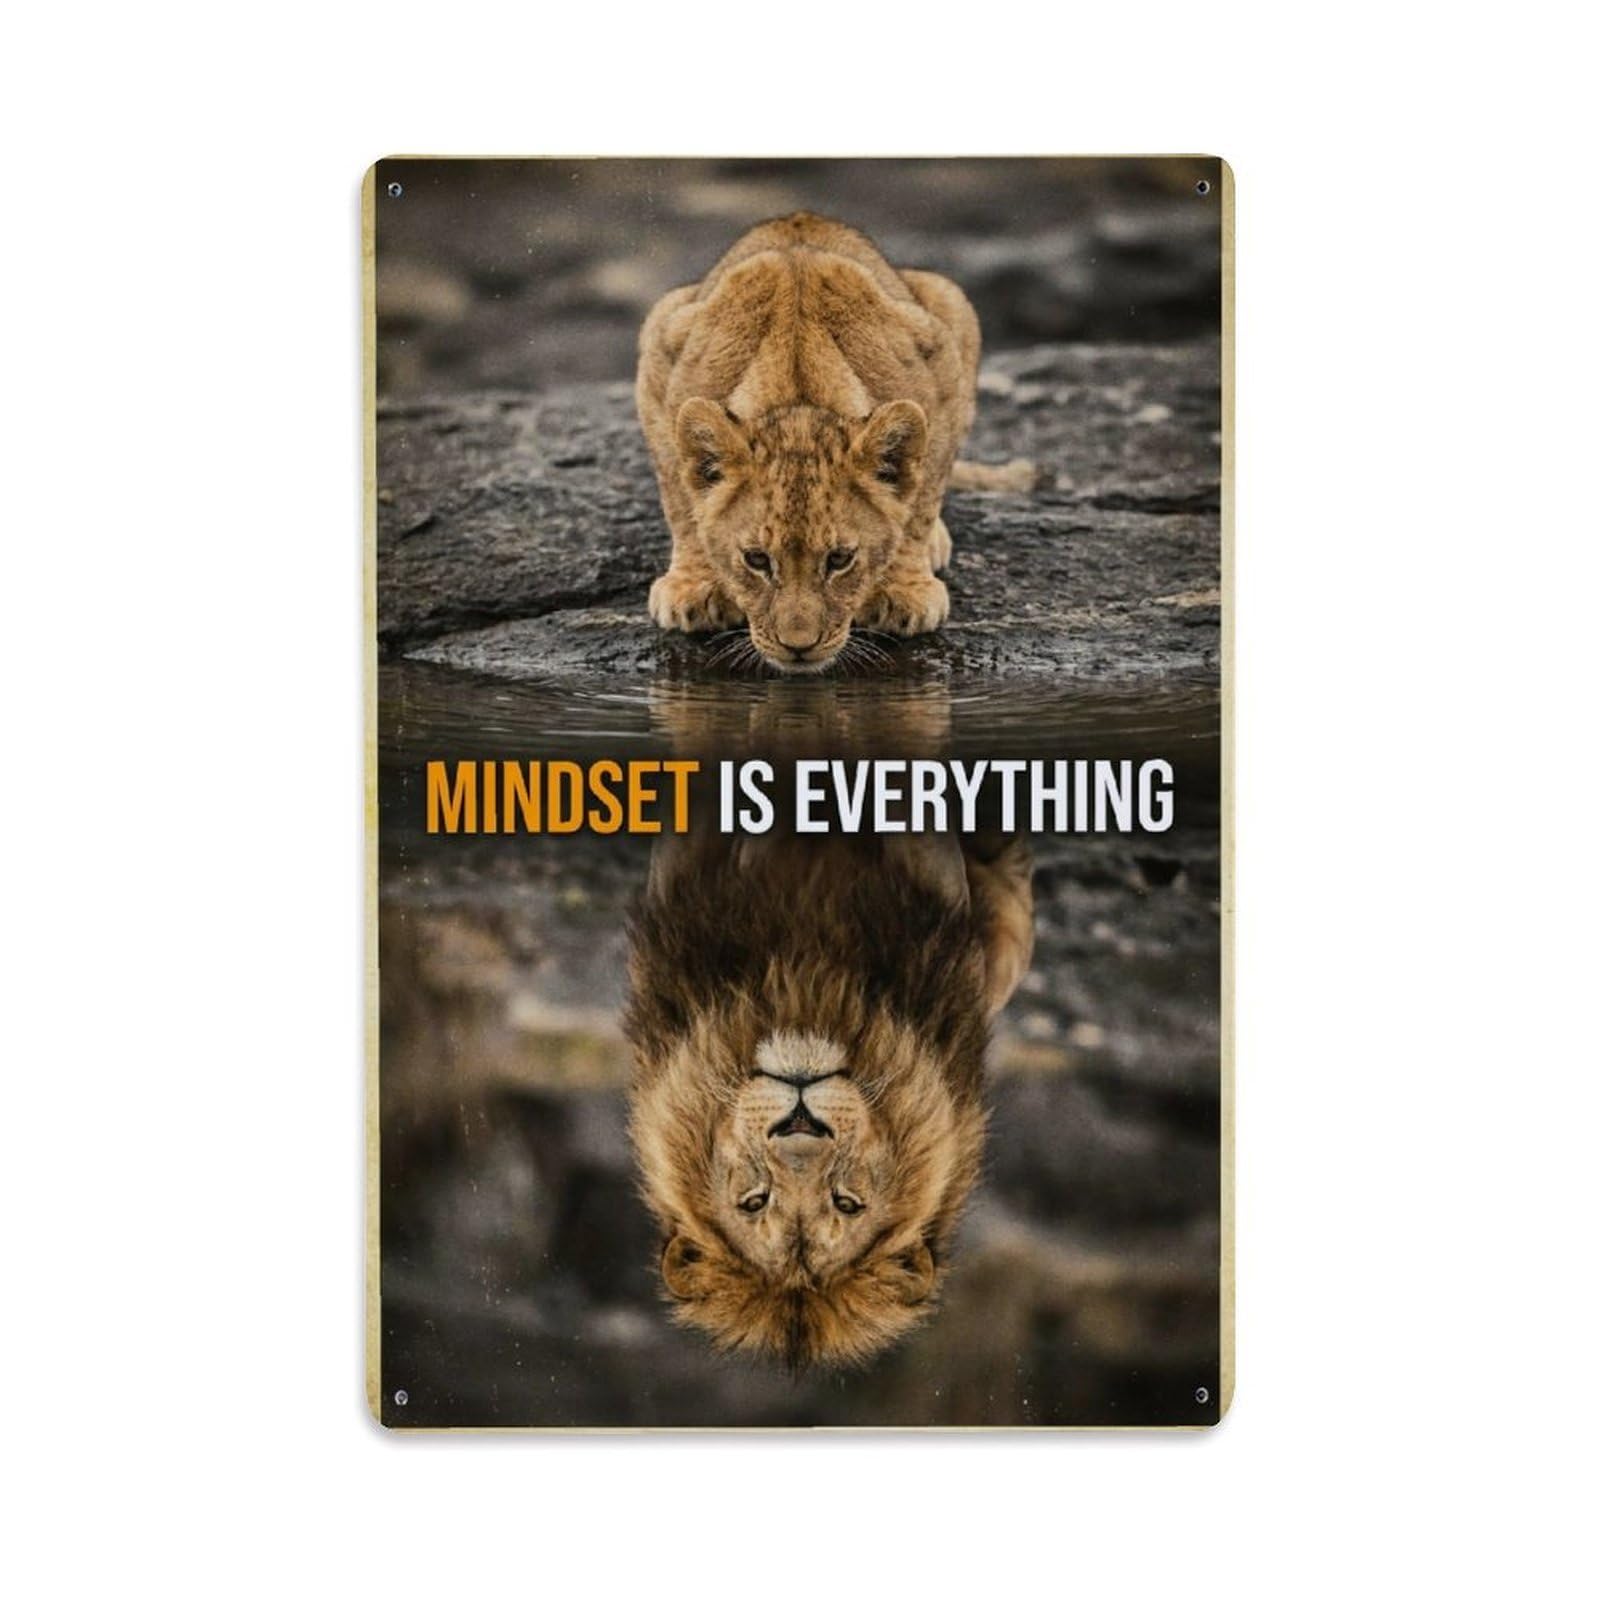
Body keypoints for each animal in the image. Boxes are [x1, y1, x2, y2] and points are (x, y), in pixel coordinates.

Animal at [636, 211, 1030, 673]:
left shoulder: (939, 370)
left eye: (840, 560)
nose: (798, 646)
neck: (798, 384)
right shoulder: (662, 363)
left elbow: (922, 499)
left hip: (948, 298)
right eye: (756, 560)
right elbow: (679, 498)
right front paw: (695, 586)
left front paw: (904, 590)